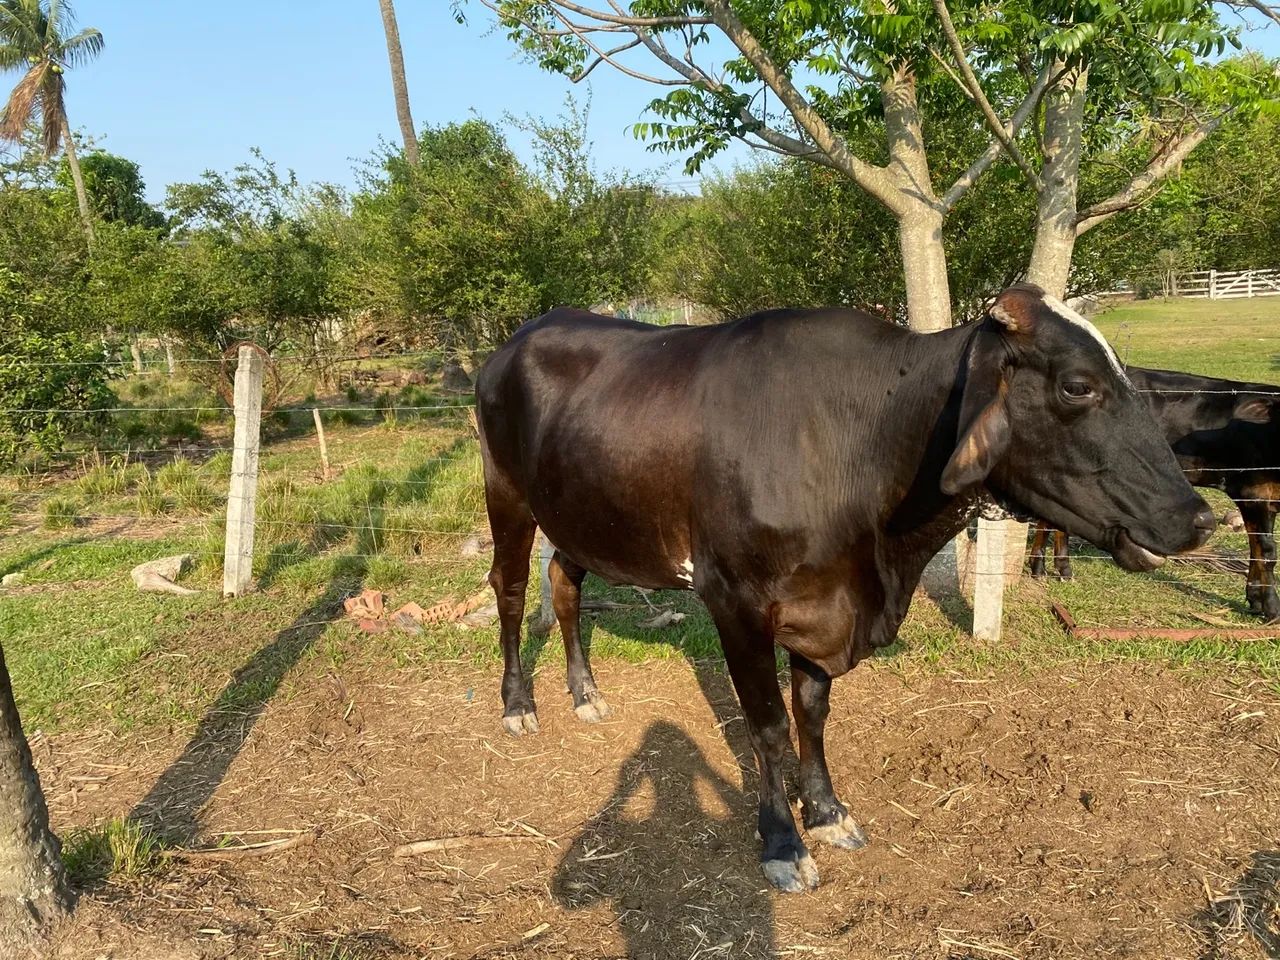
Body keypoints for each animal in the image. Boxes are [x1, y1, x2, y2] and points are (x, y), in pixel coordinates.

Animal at [474, 283, 1214, 892]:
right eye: (1079, 386)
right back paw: (517, 704)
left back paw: (585, 693)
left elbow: (812, 713)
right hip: (506, 494)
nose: (1199, 517)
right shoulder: (735, 599)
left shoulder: (822, 602)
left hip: (579, 515)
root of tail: (521, 336)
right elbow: (769, 725)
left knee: (564, 586)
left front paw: (827, 811)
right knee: (510, 591)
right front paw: (781, 841)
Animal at [1029, 366, 1280, 619]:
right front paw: (1271, 607)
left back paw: (1062, 569)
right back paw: (1040, 568)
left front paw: (1255, 600)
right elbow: (1267, 553)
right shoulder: (1252, 494)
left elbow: (1256, 551)